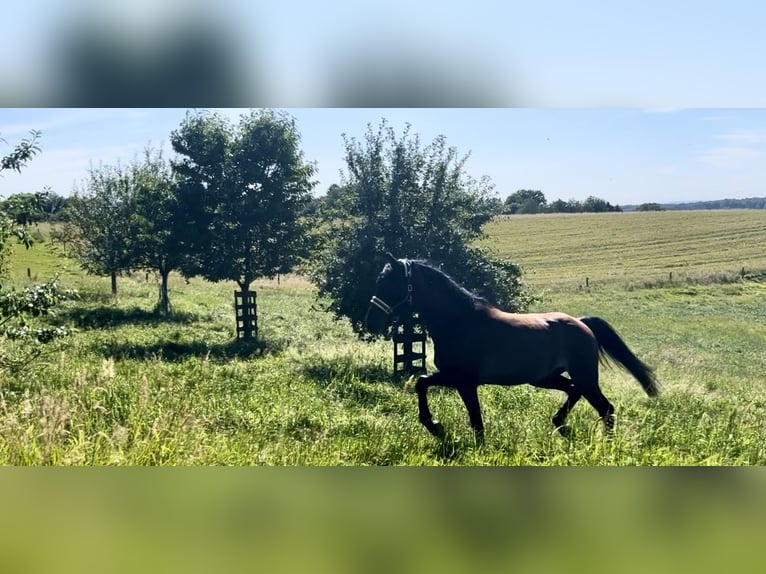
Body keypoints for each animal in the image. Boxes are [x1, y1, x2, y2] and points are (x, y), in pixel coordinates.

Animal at [366, 254, 660, 444]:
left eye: (389, 283)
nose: (372, 320)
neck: (459, 321)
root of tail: (581, 323)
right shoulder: (455, 378)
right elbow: (422, 383)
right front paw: (435, 426)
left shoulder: (464, 381)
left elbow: (475, 419)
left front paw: (442, 429)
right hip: (546, 378)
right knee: (575, 393)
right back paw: (560, 425)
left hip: (585, 376)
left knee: (606, 408)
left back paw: (605, 444)